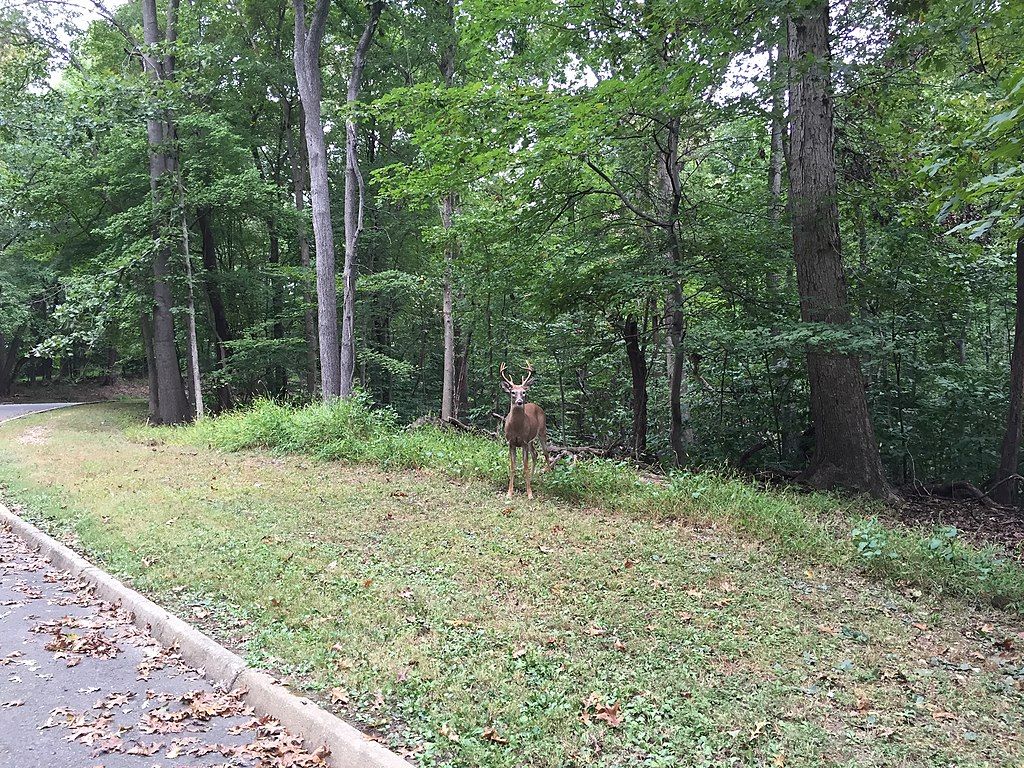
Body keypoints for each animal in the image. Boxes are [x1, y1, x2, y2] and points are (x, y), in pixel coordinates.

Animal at [499, 361, 552, 499]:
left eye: (523, 392)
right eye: (512, 392)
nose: (519, 402)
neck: (516, 427)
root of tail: (536, 405)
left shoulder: (523, 442)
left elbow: (525, 466)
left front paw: (529, 493)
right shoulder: (511, 442)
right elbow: (513, 466)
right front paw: (509, 493)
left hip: (542, 431)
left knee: (546, 453)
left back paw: (550, 474)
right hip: (531, 440)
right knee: (535, 454)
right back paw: (532, 478)